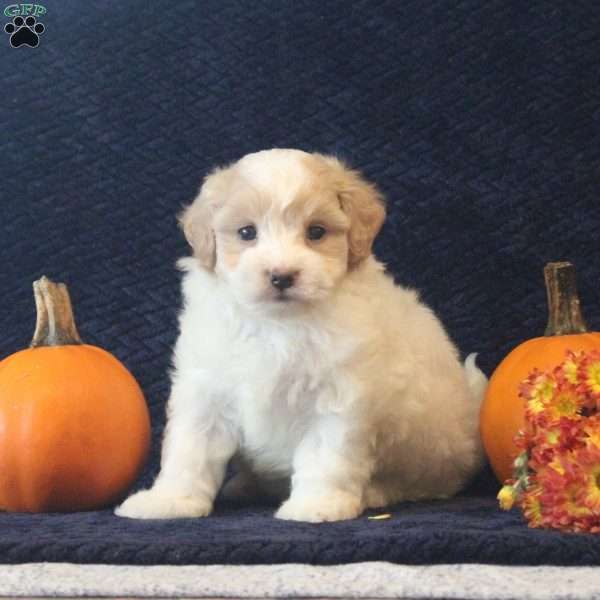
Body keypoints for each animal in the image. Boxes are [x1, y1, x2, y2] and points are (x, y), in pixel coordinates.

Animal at [115, 149, 486, 520]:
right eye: (247, 232)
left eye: (316, 232)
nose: (282, 276)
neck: (277, 324)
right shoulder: (206, 388)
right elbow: (190, 449)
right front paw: (170, 500)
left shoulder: (337, 397)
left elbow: (324, 455)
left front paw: (317, 504)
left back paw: (375, 493)